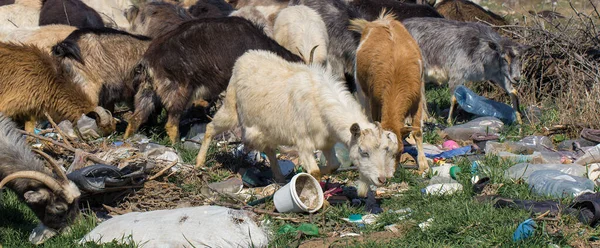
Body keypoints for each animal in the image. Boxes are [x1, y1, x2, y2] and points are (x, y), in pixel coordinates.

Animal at [197, 50, 398, 196]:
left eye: (386, 150)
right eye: (364, 152)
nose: (382, 179)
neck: (320, 100)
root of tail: (245, 56)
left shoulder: (326, 143)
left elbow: (333, 165)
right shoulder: (304, 142)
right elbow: (315, 172)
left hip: (267, 129)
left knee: (270, 150)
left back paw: (279, 177)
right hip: (231, 107)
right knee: (210, 128)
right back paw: (199, 162)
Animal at [350, 11, 428, 173]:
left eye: (400, 151)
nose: (390, 174)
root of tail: (381, 21)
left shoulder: (417, 101)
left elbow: (417, 131)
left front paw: (424, 165)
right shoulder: (374, 100)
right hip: (361, 89)